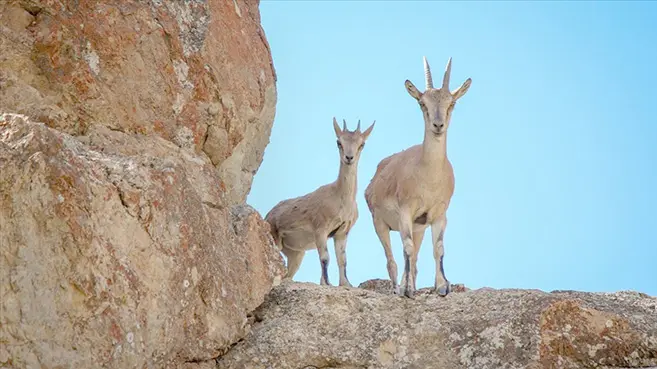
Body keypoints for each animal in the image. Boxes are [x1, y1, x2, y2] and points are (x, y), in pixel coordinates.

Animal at [262, 118, 374, 288]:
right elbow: (325, 257)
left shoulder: (342, 232)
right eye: (339, 142)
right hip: (276, 240)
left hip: (296, 253)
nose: (349, 157)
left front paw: (346, 284)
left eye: (362, 144)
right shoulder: (320, 229)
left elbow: (342, 259)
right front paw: (326, 283)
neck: (341, 199)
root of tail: (267, 216)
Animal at [364, 56, 472, 298]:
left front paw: (442, 286)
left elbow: (438, 248)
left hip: (419, 228)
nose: (438, 125)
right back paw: (398, 288)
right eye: (422, 103)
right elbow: (407, 247)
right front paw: (407, 290)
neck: (428, 177)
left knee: (413, 261)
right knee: (392, 260)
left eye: (451, 103)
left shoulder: (438, 214)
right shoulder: (405, 211)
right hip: (380, 223)